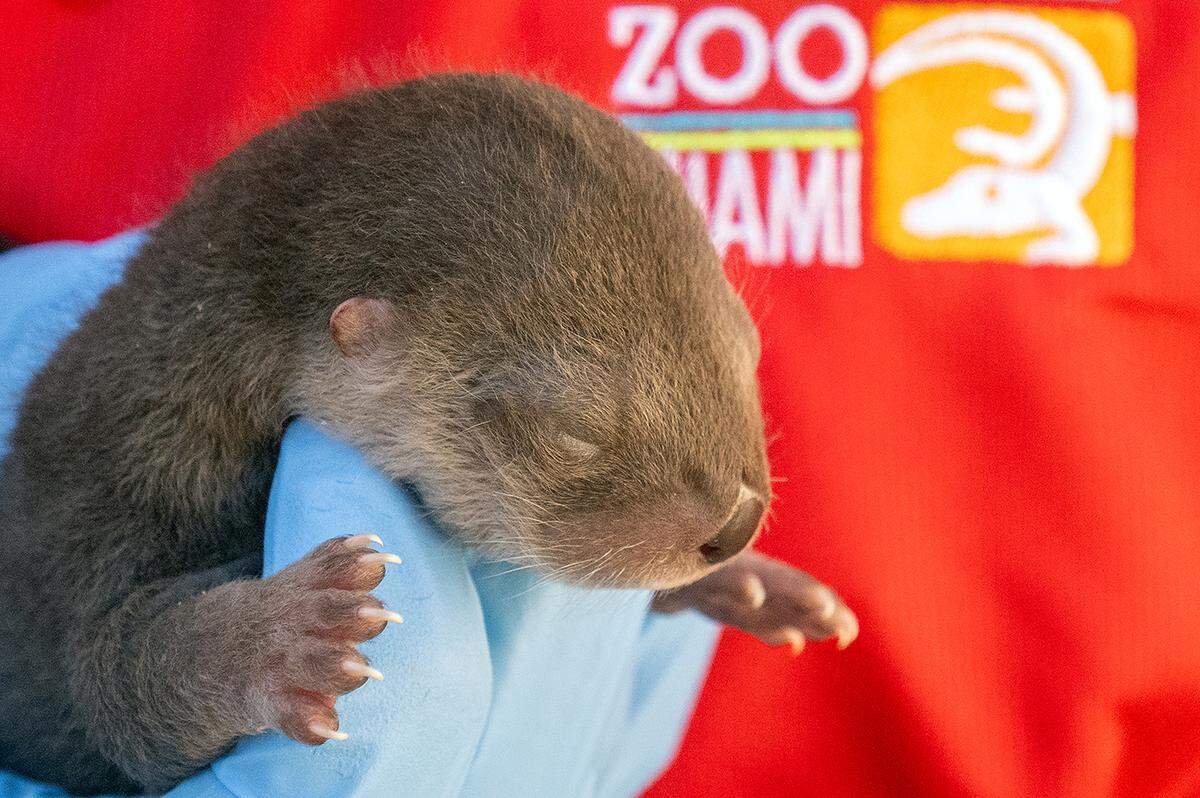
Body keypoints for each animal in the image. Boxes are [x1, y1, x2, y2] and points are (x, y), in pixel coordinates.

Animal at [0, 73, 857, 794]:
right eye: (576, 431)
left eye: (748, 351)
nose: (738, 521)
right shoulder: (107, 501)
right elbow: (115, 685)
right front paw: (286, 636)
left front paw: (754, 582)